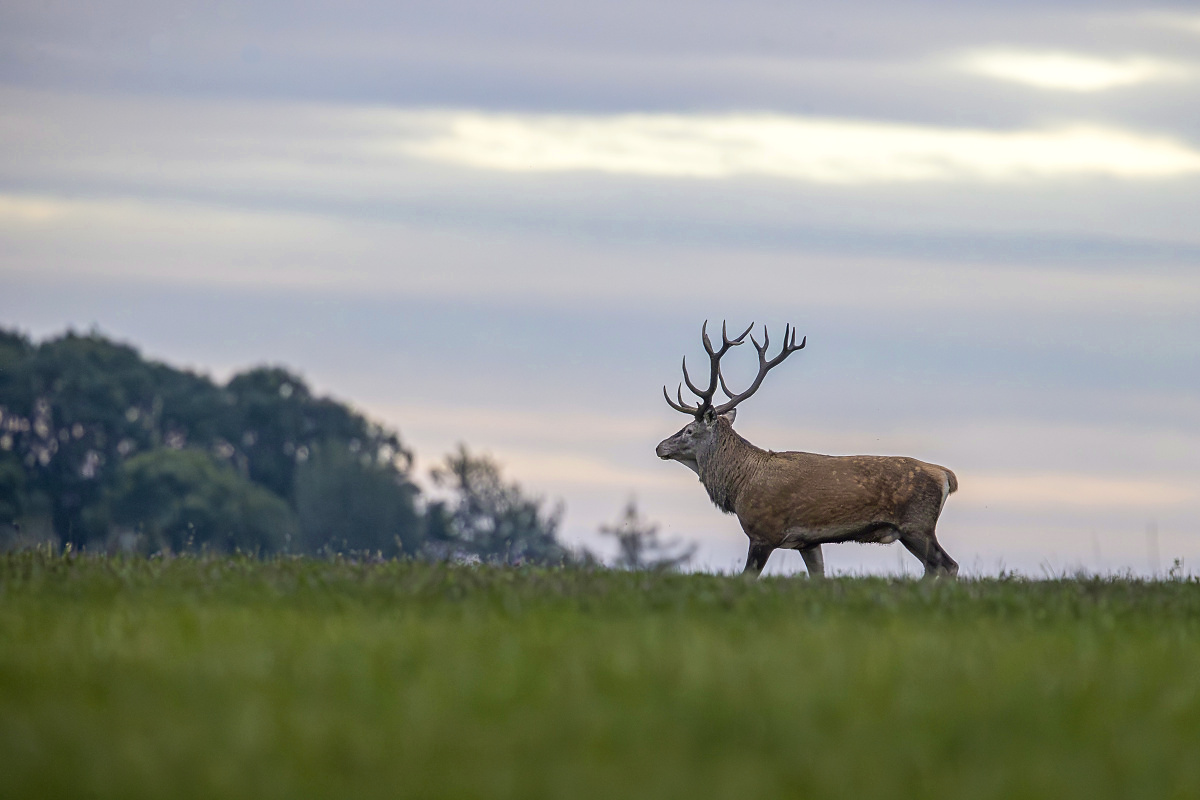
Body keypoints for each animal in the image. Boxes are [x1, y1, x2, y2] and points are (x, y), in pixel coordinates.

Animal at [657, 321, 955, 578]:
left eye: (689, 430)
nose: (660, 447)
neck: (740, 484)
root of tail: (946, 475)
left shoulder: (764, 532)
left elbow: (747, 577)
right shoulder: (808, 542)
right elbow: (818, 577)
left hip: (916, 524)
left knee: (945, 565)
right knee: (939, 566)